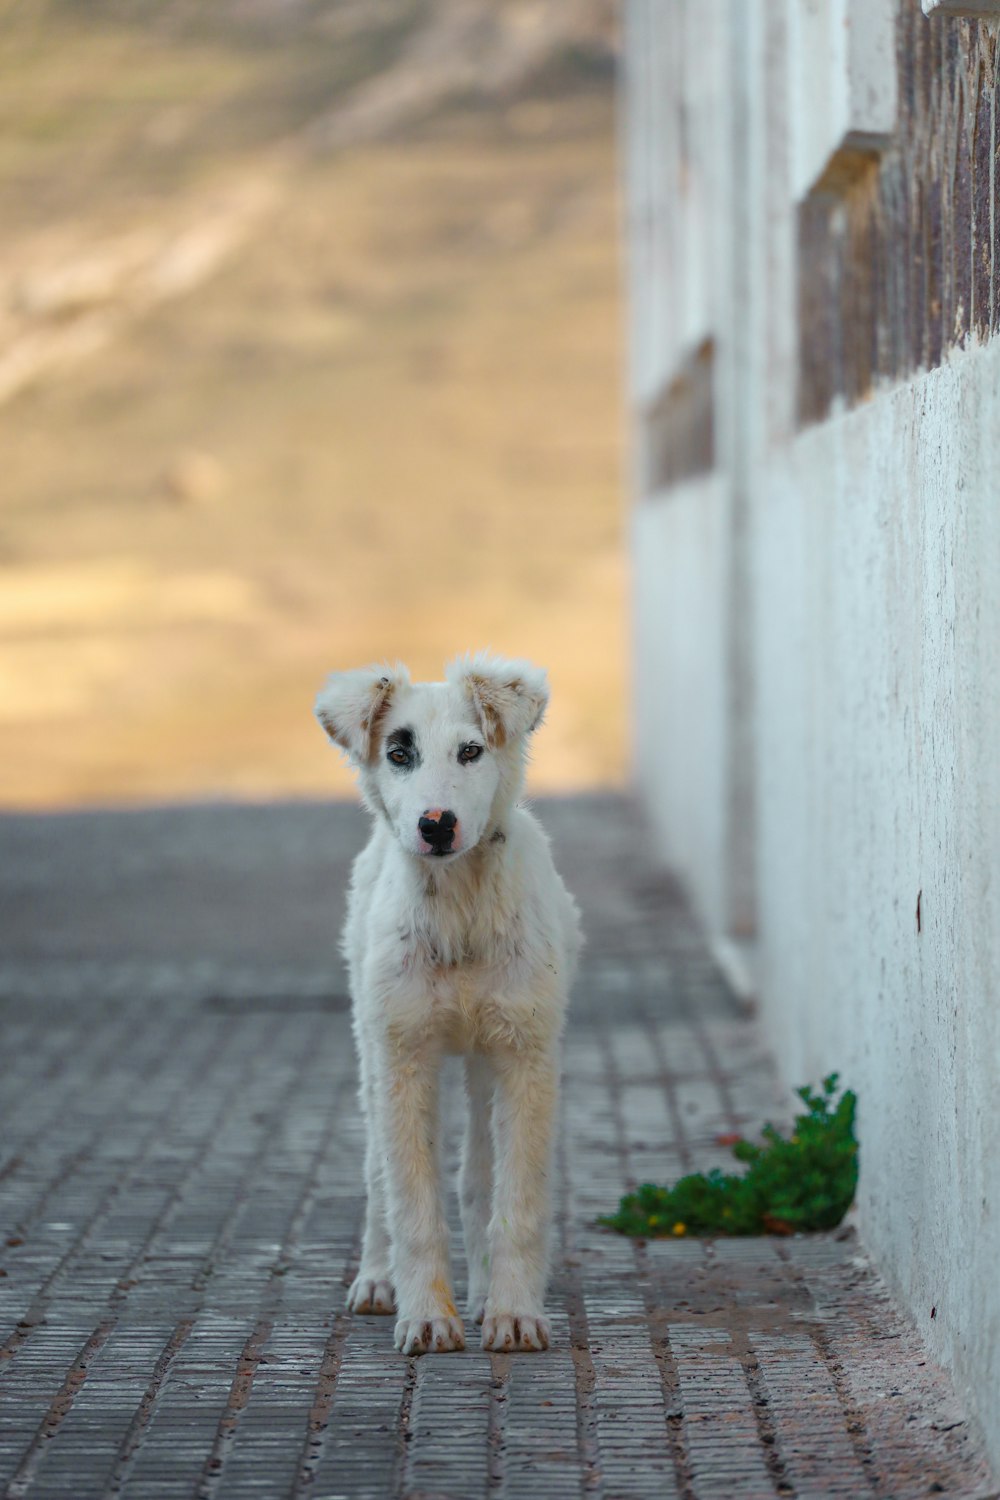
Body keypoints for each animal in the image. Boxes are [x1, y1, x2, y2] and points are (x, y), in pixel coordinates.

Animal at [313, 651, 578, 1356]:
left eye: (471, 751)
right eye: (399, 753)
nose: (436, 825)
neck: (459, 910)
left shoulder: (525, 1053)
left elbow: (514, 1200)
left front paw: (514, 1313)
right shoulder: (404, 1054)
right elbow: (410, 1201)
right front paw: (427, 1316)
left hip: (483, 1060)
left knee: (477, 1178)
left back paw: (484, 1295)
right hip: (369, 1045)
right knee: (377, 1178)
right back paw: (378, 1279)